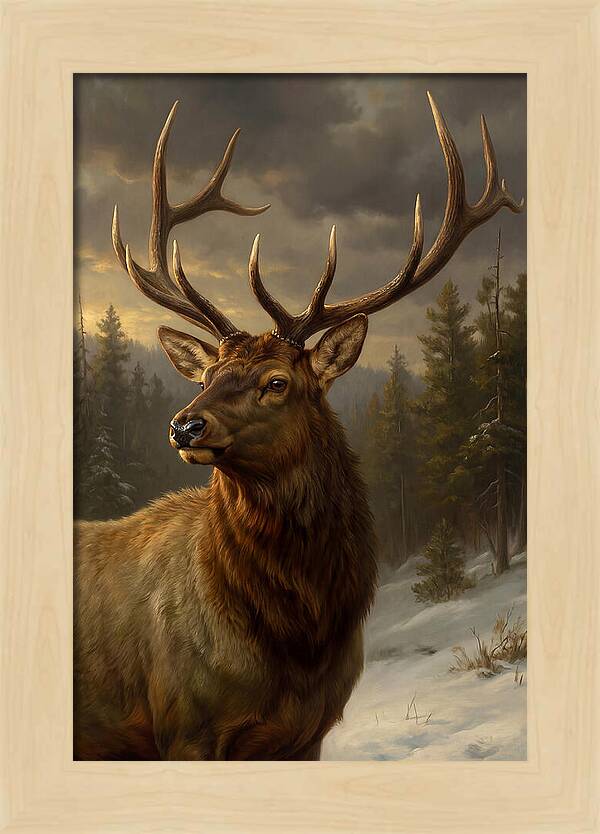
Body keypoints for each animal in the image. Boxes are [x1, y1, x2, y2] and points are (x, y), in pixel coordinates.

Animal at [74, 92, 523, 760]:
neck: (298, 639)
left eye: (277, 382)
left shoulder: (307, 732)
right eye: (206, 373)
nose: (184, 426)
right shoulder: (182, 726)